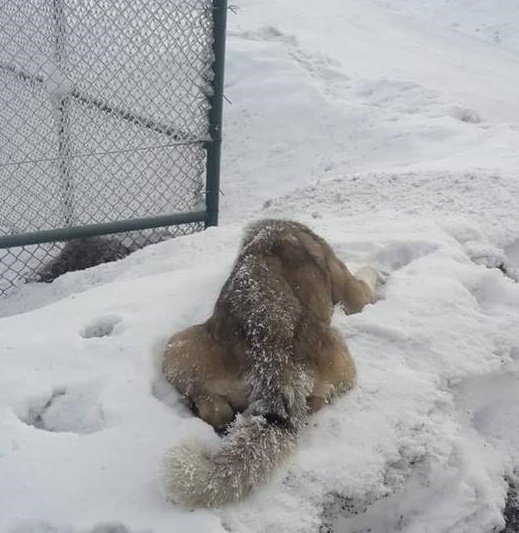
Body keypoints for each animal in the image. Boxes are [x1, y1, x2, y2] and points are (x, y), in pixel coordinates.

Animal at [162, 217, 382, 508]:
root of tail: (271, 352)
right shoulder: (353, 291)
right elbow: (367, 277)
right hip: (343, 358)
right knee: (322, 398)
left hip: (180, 348)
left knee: (215, 410)